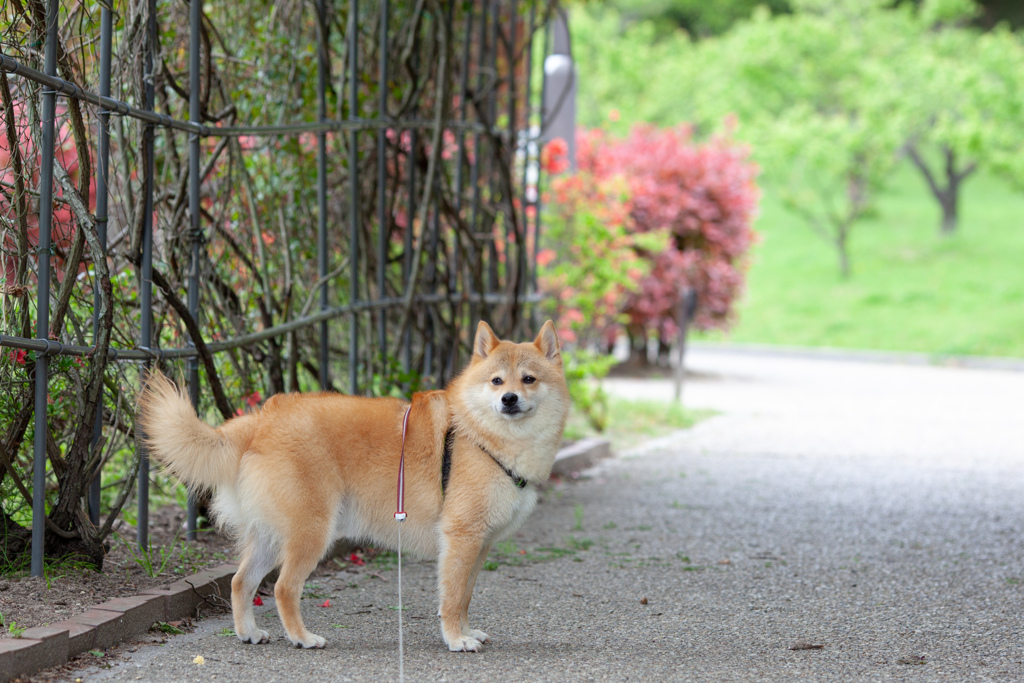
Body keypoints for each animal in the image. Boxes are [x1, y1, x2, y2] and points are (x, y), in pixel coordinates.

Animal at [137, 321, 573, 651]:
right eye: (496, 380)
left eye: (529, 379)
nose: (509, 398)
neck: (480, 435)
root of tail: (261, 420)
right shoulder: (461, 539)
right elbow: (451, 599)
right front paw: (455, 639)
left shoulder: (478, 546)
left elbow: (464, 596)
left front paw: (466, 632)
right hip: (311, 532)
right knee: (283, 588)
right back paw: (302, 638)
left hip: (271, 536)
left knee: (241, 582)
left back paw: (250, 632)